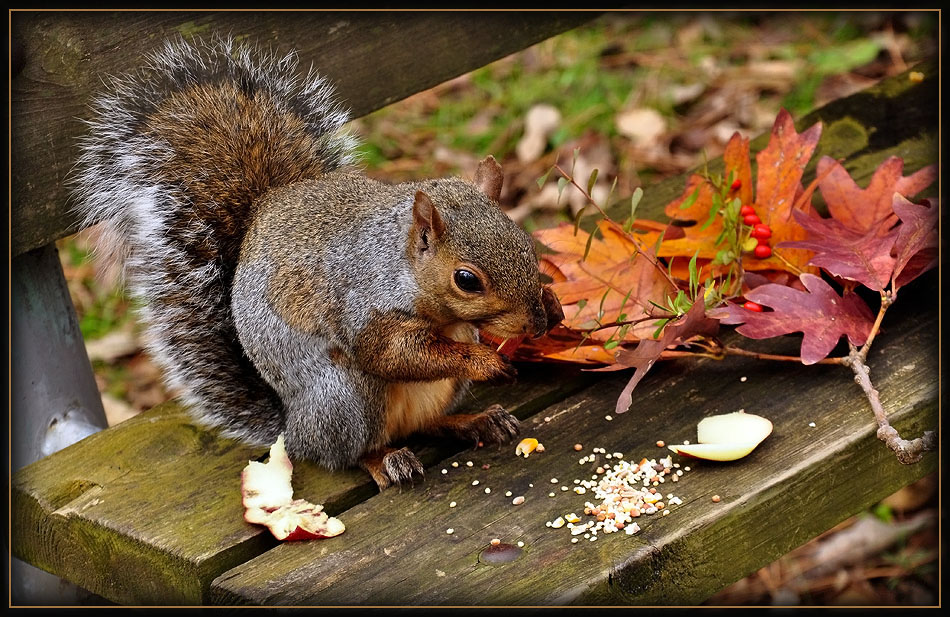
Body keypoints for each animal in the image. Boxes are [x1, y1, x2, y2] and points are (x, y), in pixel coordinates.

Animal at [76, 37, 564, 490]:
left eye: (526, 243)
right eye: (466, 280)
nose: (535, 324)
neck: (400, 264)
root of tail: (293, 429)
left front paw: (553, 304)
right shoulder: (366, 309)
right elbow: (393, 354)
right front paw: (483, 361)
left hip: (433, 393)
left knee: (426, 424)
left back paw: (473, 421)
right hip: (347, 397)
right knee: (350, 452)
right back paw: (386, 460)